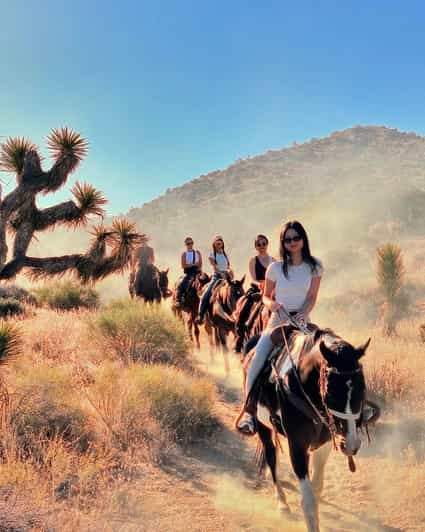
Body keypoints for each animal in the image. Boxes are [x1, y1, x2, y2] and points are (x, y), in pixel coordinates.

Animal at [237, 324, 376, 532]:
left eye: (362, 388)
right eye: (332, 392)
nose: (350, 444)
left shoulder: (323, 444)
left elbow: (316, 488)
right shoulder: (297, 446)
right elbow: (308, 500)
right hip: (263, 427)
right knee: (271, 458)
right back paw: (282, 504)